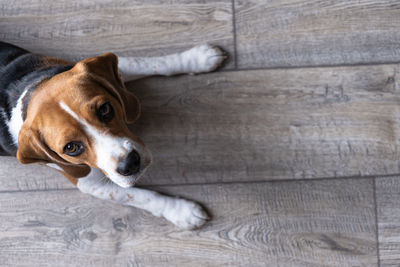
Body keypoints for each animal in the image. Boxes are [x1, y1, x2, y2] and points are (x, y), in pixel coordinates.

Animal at [0, 42, 225, 230]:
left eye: (105, 109)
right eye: (71, 148)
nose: (130, 164)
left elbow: (146, 62)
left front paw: (197, 58)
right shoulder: (90, 183)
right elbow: (142, 196)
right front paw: (182, 211)